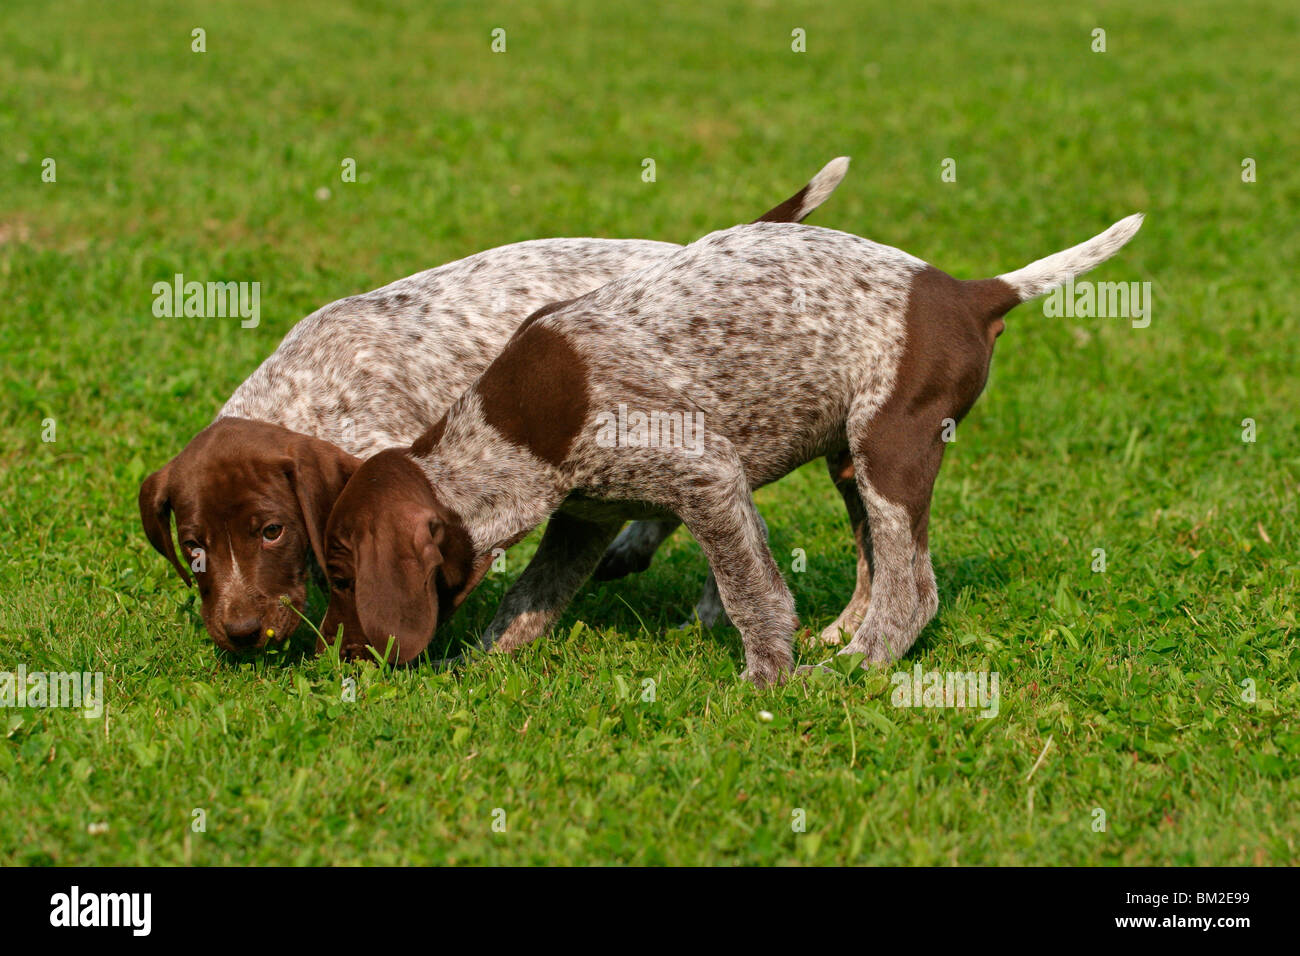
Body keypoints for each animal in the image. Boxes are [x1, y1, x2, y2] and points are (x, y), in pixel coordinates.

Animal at [319, 213, 1144, 686]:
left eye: (342, 575)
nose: (337, 661)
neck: (502, 437)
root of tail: (969, 293)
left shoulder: (705, 476)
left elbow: (751, 592)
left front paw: (767, 677)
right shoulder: (586, 516)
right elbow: (530, 599)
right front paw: (481, 662)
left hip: (893, 444)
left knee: (914, 589)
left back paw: (857, 665)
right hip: (851, 457)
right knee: (877, 560)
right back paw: (843, 633)